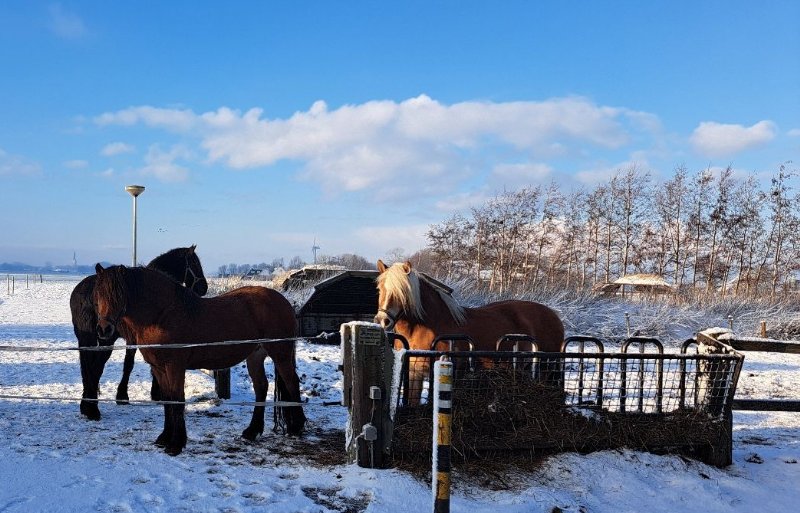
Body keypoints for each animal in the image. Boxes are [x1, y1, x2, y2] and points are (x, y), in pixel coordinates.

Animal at [69, 245, 208, 421]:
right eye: (195, 263)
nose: (204, 287)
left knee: (89, 369)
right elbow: (133, 365)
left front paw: (123, 395)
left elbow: (129, 364)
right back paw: (92, 409)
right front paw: (150, 394)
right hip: (105, 339)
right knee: (95, 368)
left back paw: (86, 404)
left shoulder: (133, 339)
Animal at [92, 264, 305, 456]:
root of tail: (284, 302)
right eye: (98, 295)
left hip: (280, 354)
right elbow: (167, 400)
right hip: (255, 356)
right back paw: (252, 431)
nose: (104, 329)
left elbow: (178, 399)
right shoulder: (158, 368)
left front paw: (176, 444)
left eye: (118, 295)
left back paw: (297, 427)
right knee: (261, 387)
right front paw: (164, 438)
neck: (162, 315)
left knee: (292, 383)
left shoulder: (175, 367)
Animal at [373, 260, 565, 405]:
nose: (383, 320)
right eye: (380, 289)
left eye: (402, 292)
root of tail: (553, 315)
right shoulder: (414, 373)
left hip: (545, 369)